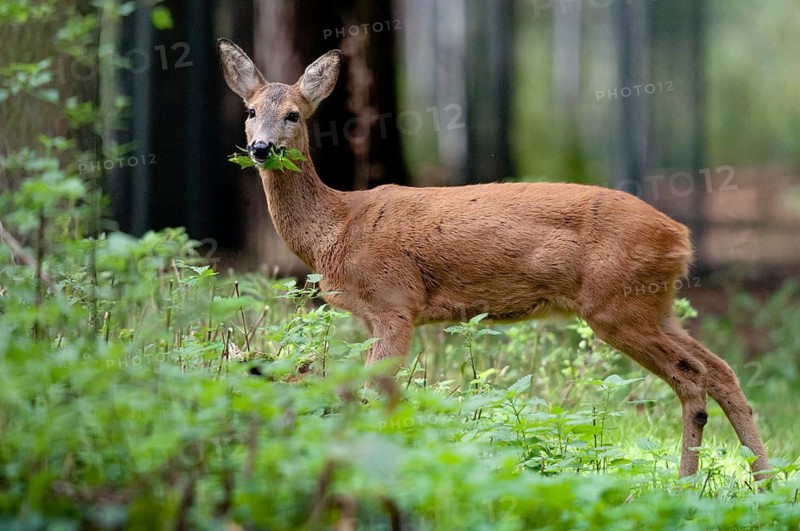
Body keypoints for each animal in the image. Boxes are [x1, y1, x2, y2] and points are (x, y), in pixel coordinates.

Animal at [217, 39, 770, 481]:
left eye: (294, 114)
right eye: (249, 111)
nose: (260, 148)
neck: (336, 227)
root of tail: (681, 236)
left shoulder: (395, 301)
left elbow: (372, 390)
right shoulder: (374, 316)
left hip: (617, 306)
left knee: (692, 378)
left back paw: (688, 483)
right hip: (656, 305)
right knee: (721, 370)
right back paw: (758, 481)